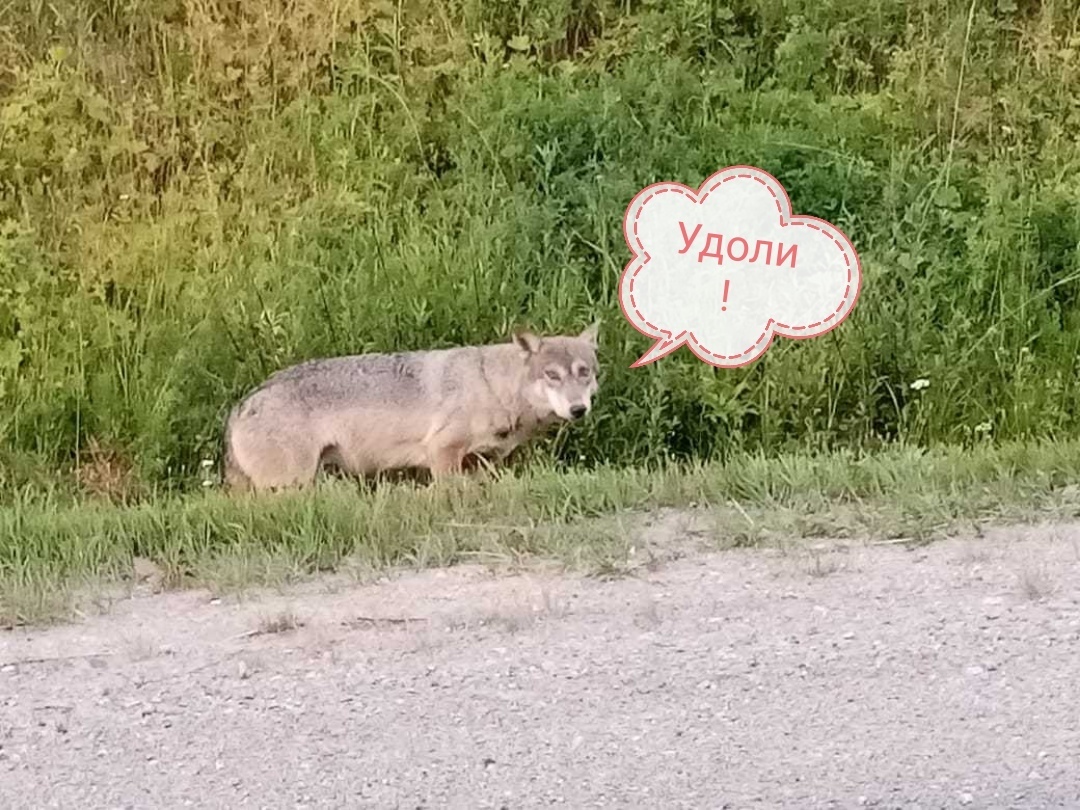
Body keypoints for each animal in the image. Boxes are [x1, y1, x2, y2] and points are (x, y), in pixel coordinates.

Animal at [223, 326, 604, 494]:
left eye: (584, 372)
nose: (578, 409)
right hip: (291, 485)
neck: (491, 385)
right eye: (552, 376)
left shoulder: (481, 463)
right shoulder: (442, 452)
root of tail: (242, 405)